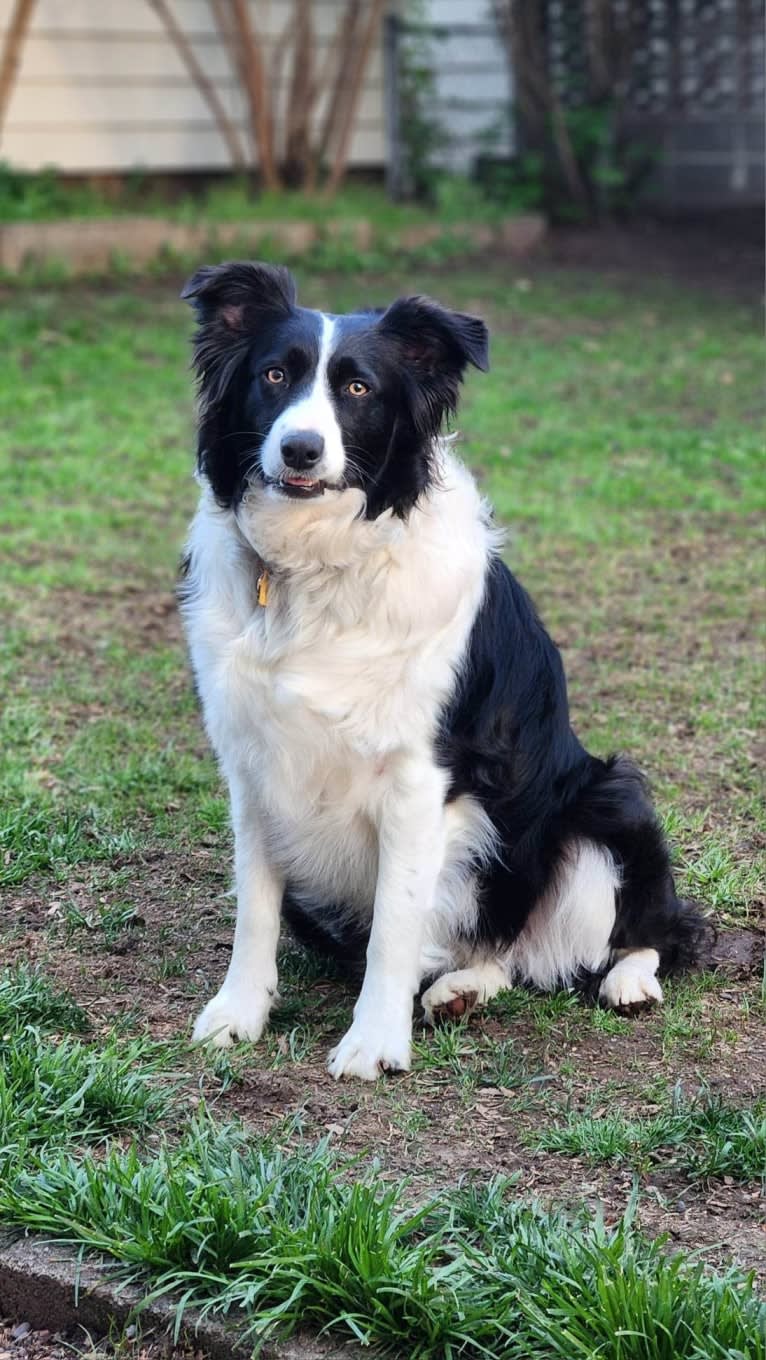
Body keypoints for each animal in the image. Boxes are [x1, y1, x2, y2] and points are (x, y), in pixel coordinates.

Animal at [179, 259, 707, 1077]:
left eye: (358, 388)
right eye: (273, 375)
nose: (300, 450)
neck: (319, 566)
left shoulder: (421, 777)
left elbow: (394, 923)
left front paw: (372, 1043)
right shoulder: (255, 764)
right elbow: (254, 906)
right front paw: (239, 1013)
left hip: (606, 804)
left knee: (642, 931)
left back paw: (628, 981)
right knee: (498, 956)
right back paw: (462, 989)